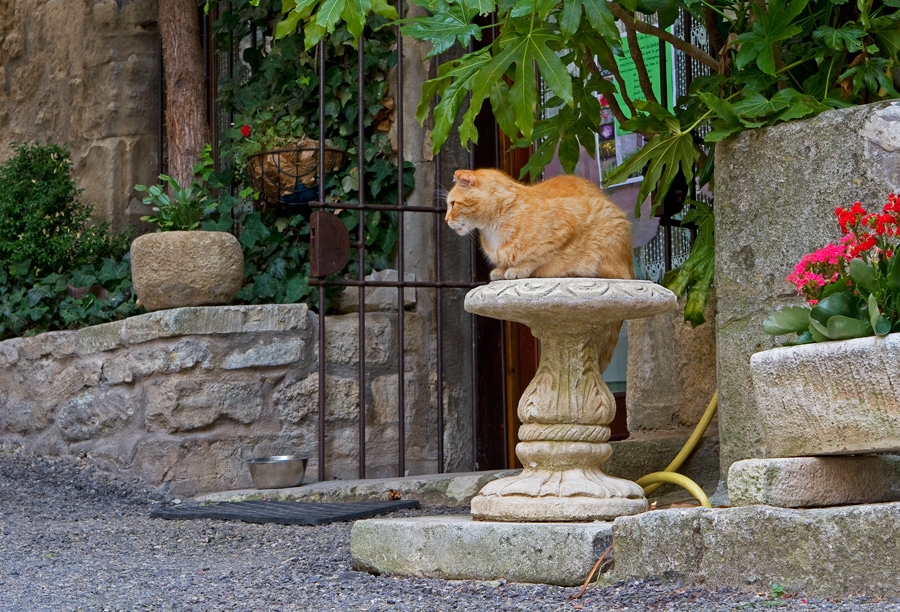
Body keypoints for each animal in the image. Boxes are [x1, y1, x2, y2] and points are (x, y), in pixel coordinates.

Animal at [444, 167, 632, 368]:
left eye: (453, 204)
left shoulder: (567, 225)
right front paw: (501, 270)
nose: (446, 219)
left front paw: (519, 268)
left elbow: (537, 257)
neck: (493, 228)